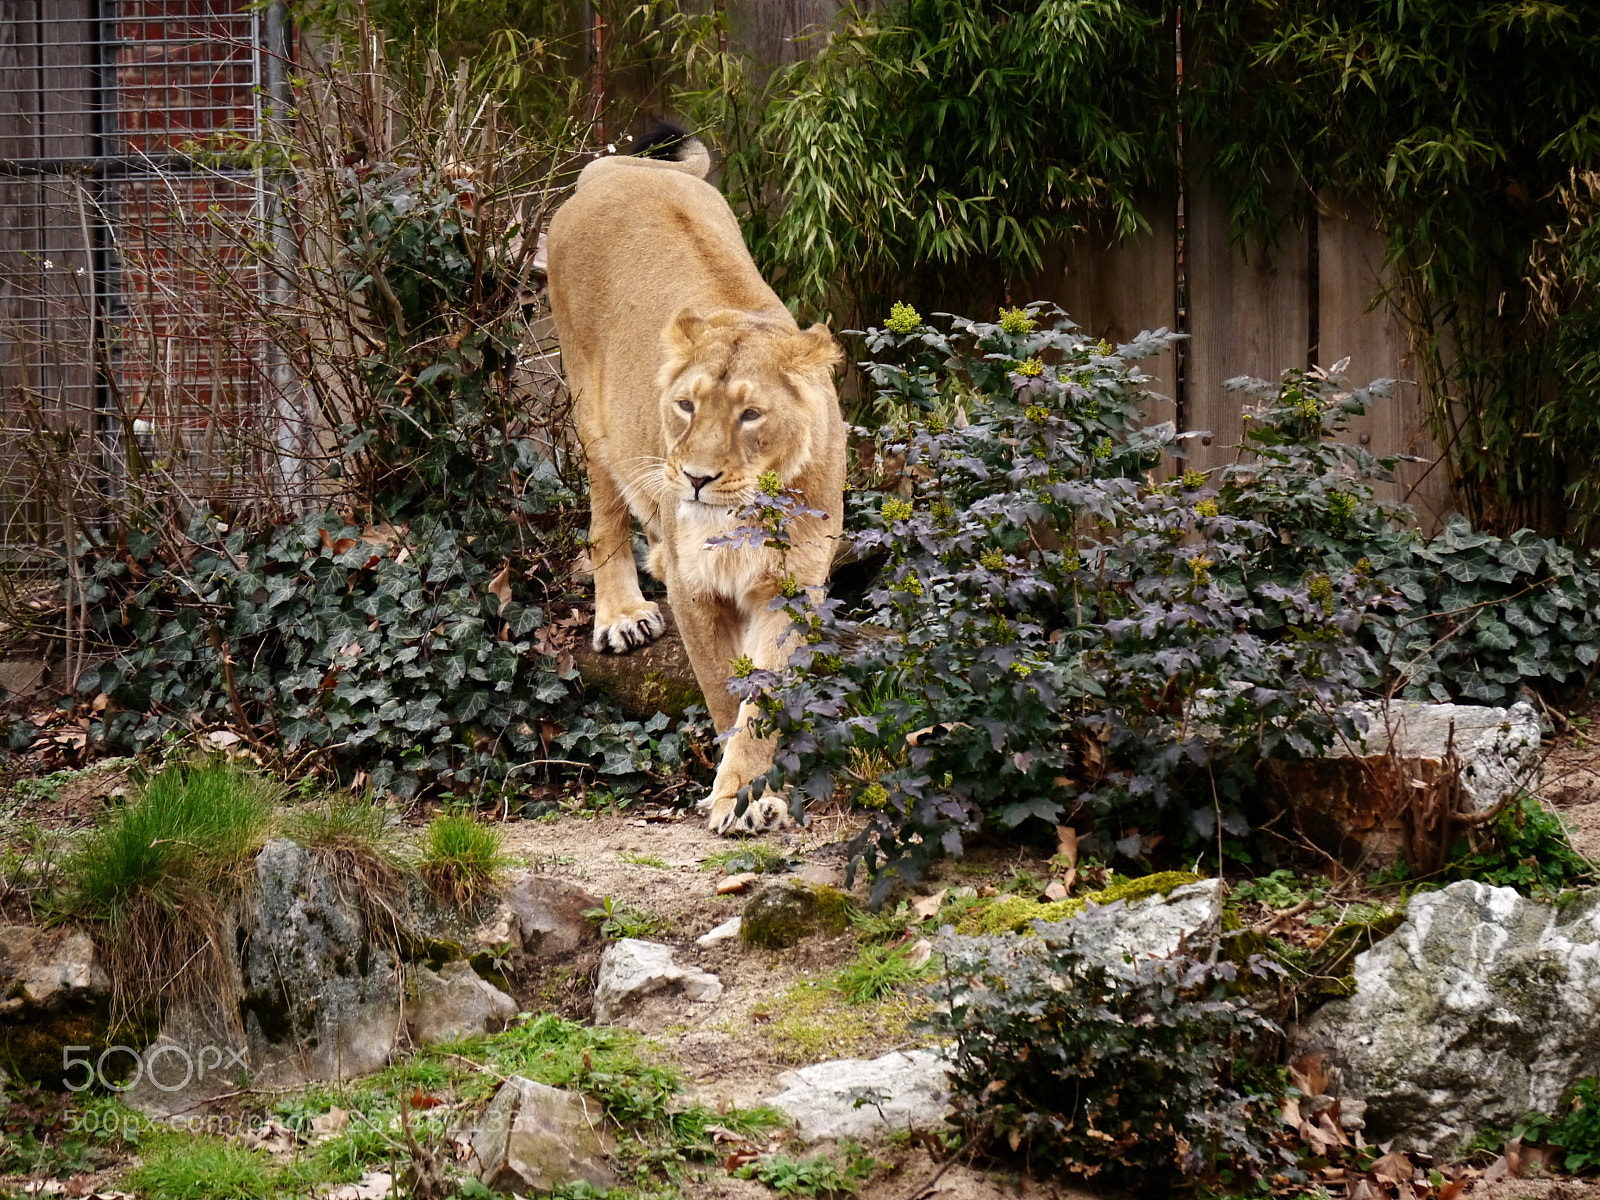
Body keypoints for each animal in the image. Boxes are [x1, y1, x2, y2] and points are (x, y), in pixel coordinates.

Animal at [545, 134, 846, 835]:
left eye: (750, 414)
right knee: (606, 516)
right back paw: (623, 616)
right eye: (685, 405)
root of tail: (618, 169)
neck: (746, 514)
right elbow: (721, 690)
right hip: (591, 413)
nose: (697, 477)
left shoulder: (793, 588)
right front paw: (734, 793)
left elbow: (763, 701)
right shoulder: (695, 590)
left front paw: (755, 794)